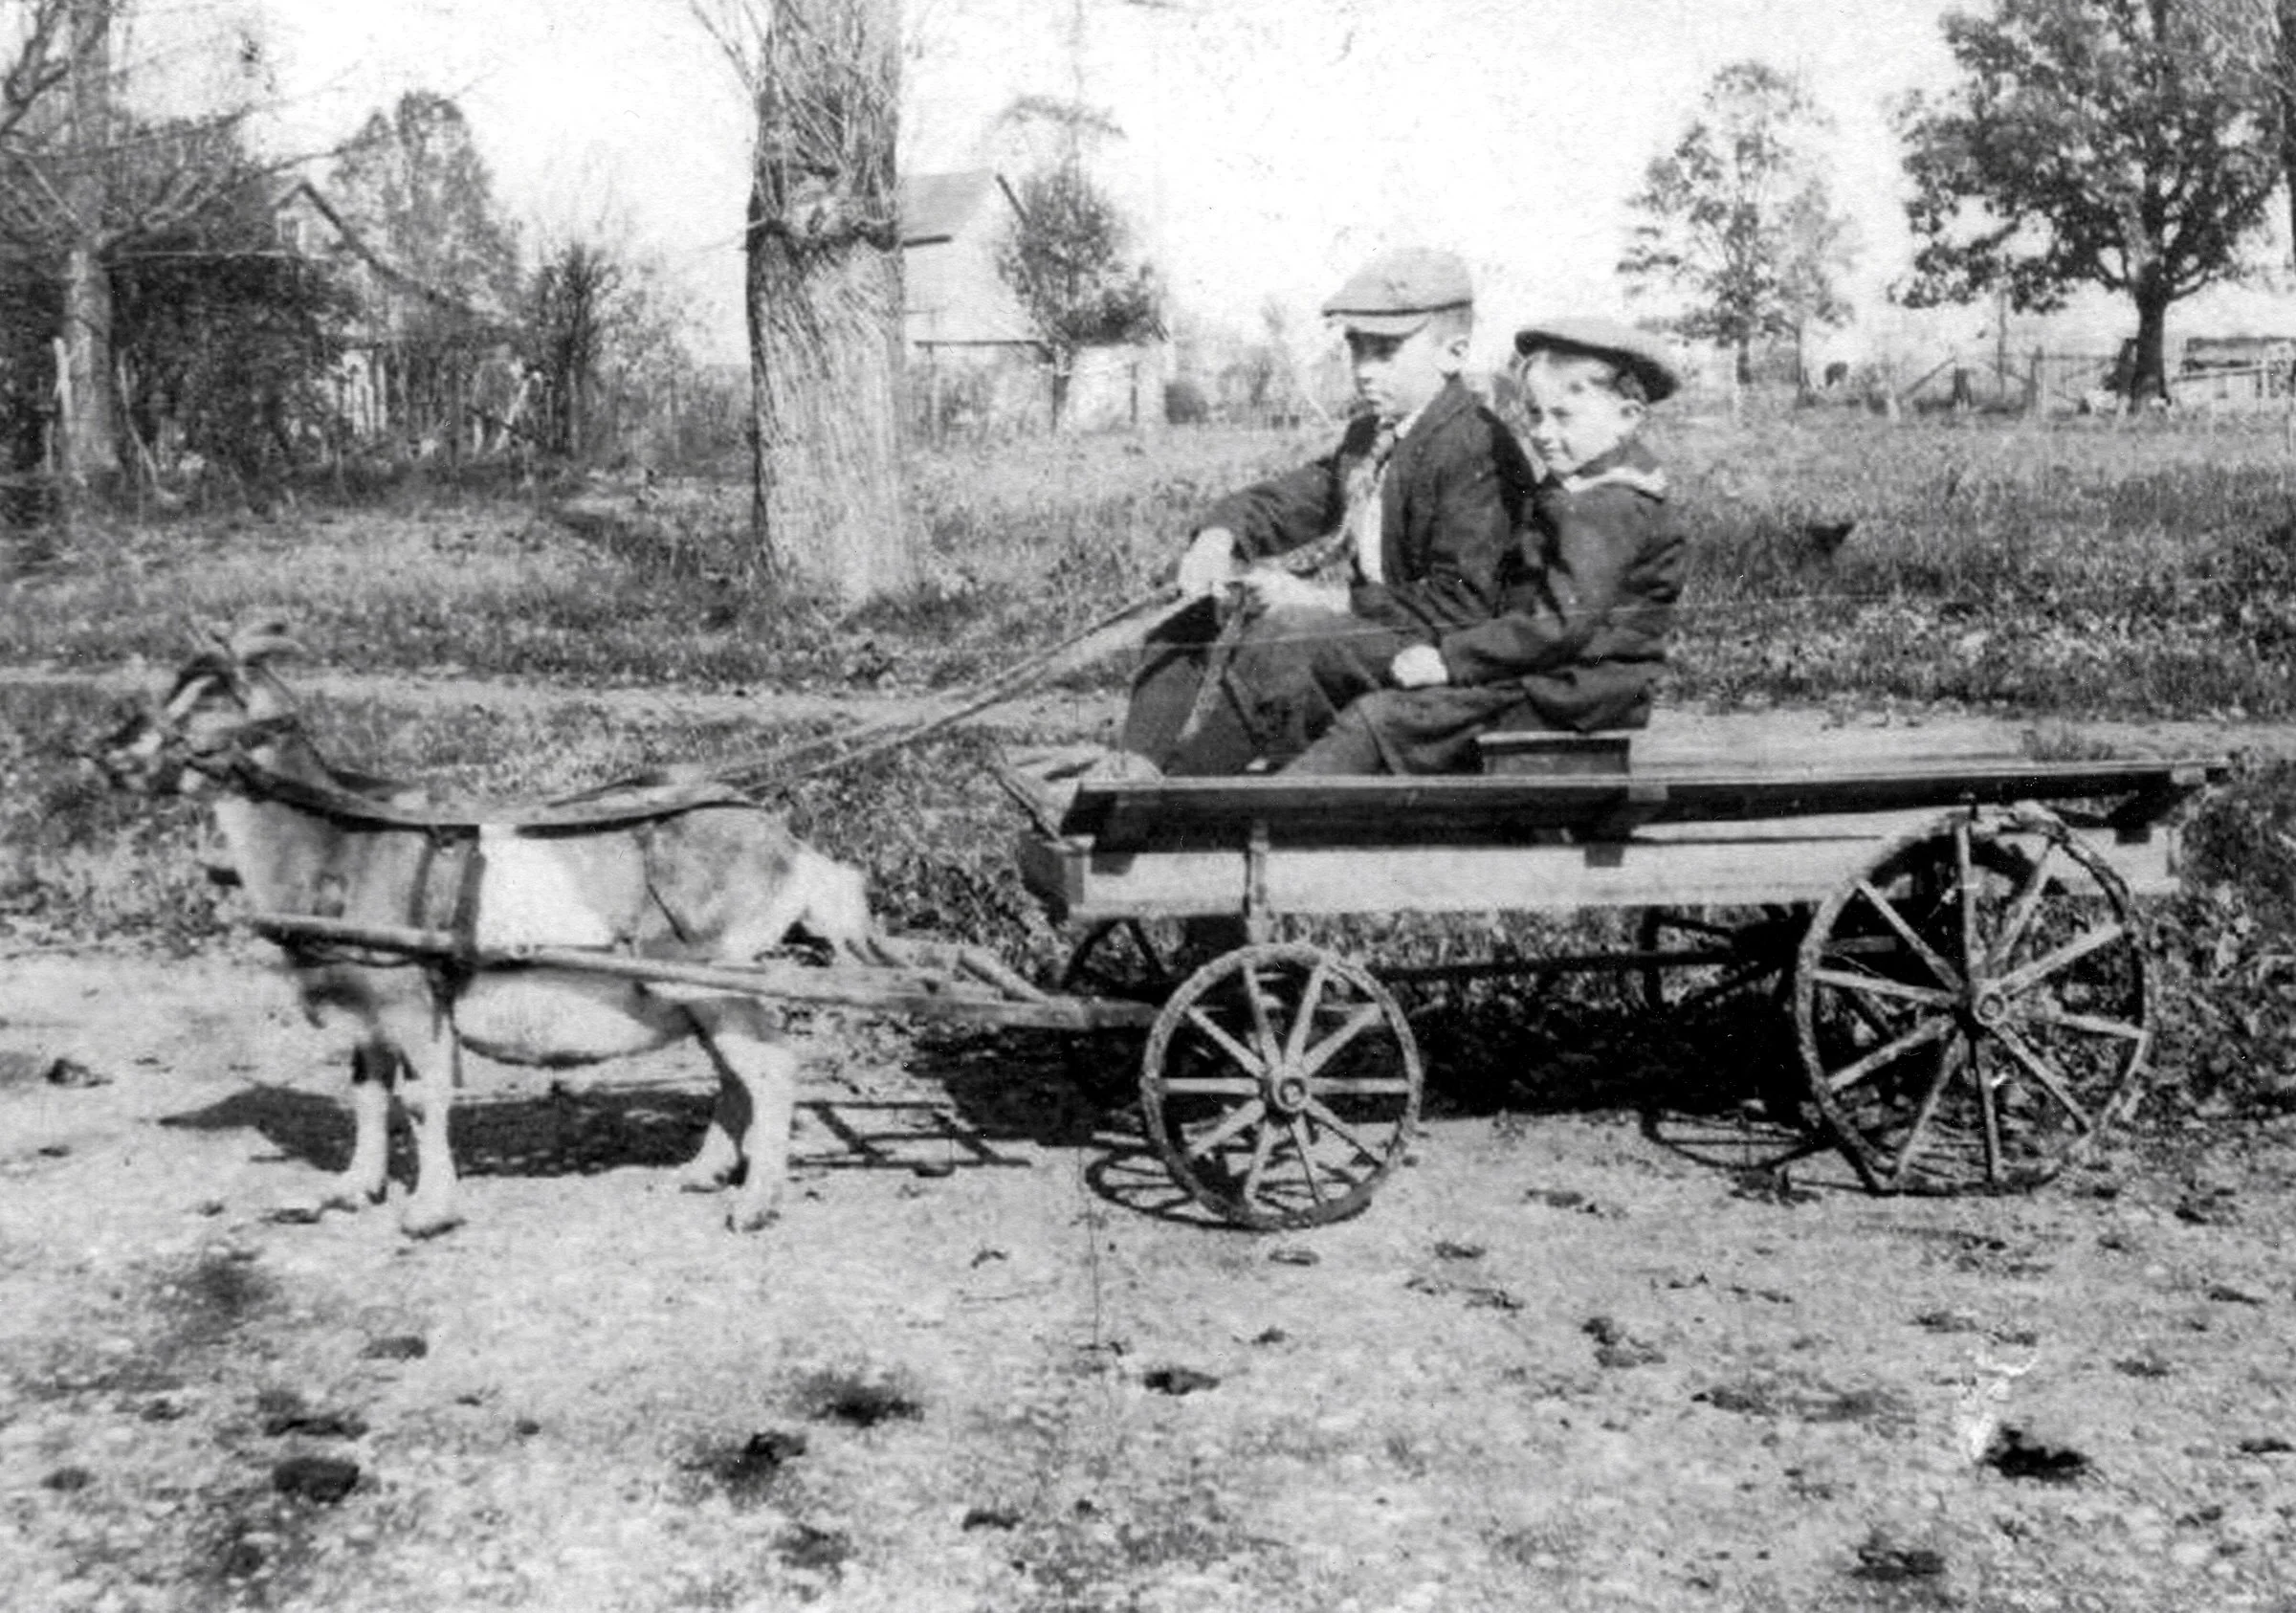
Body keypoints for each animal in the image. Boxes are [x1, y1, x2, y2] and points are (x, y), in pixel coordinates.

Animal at [105, 623, 873, 1236]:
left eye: (207, 701)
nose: (103, 751)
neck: (341, 843)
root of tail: (789, 848)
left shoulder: (409, 1000)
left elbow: (424, 1100)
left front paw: (429, 1210)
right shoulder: (368, 1007)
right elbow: (368, 1096)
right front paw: (353, 1189)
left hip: (709, 975)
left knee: (770, 1070)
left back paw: (755, 1203)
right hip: (700, 991)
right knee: (735, 1072)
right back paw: (706, 1171)